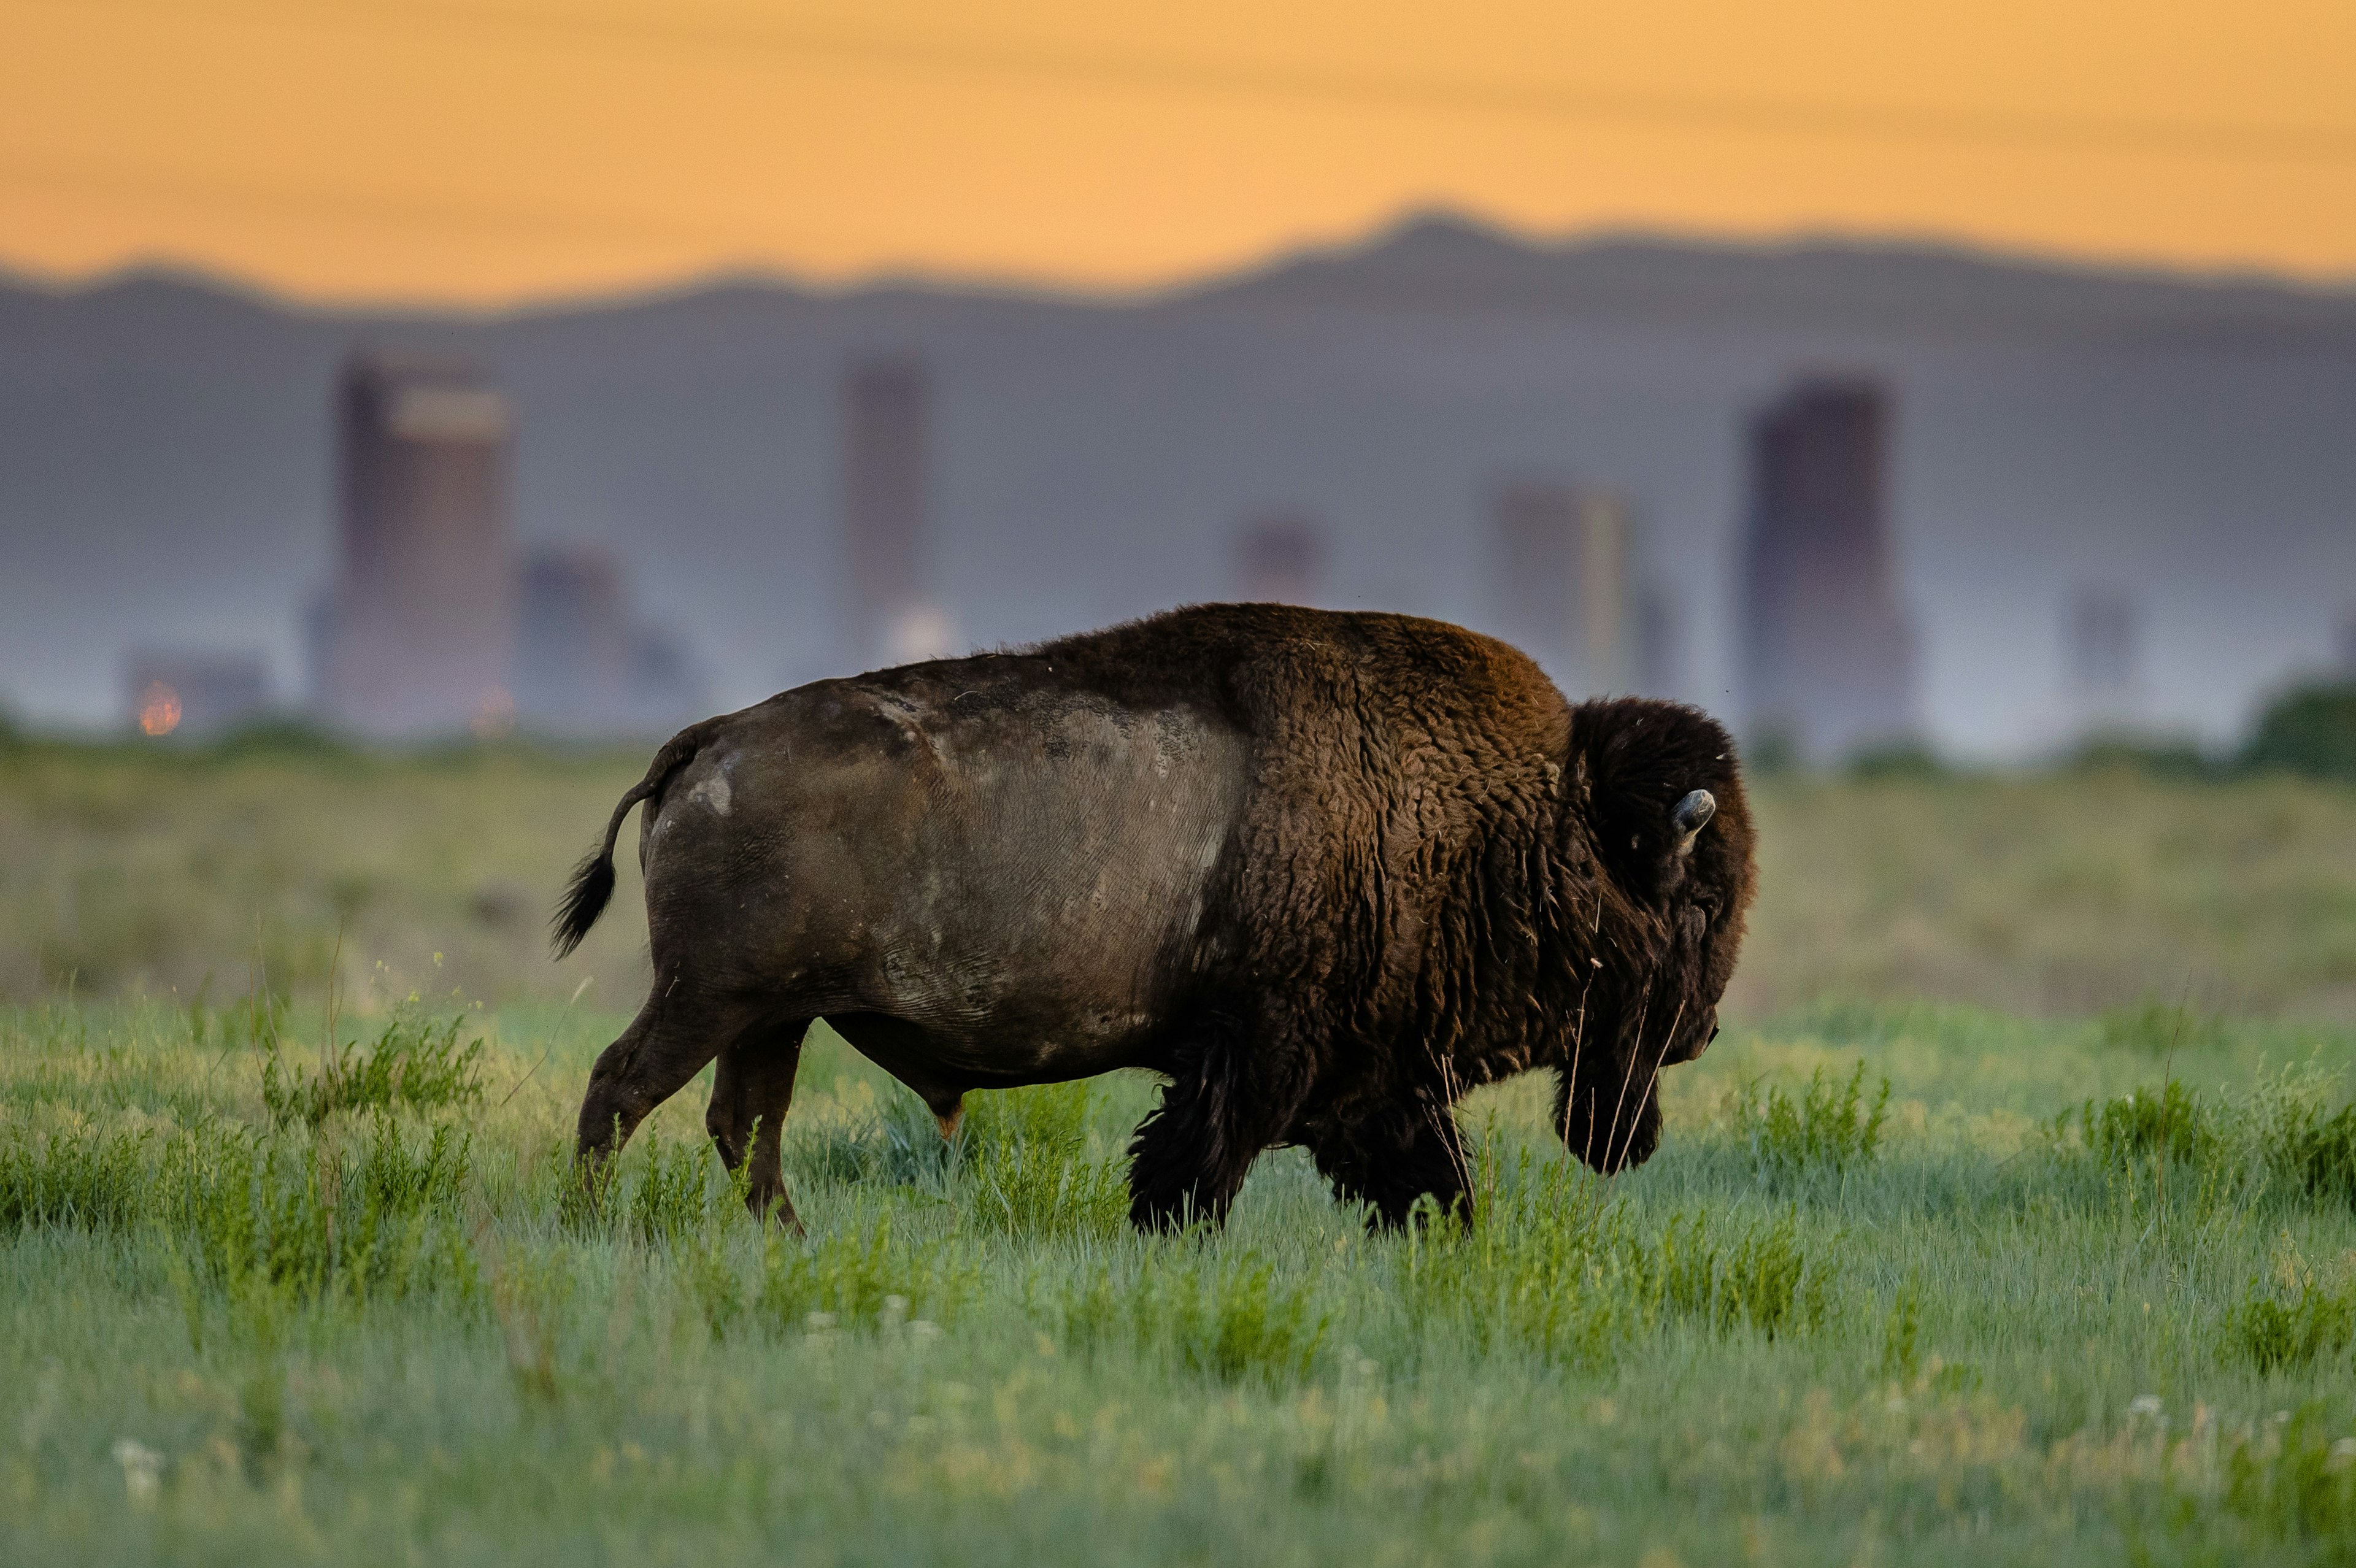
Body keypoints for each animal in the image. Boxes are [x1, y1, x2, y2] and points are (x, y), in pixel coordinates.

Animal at [556, 602, 1752, 1224]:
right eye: (1701, 899)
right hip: (713, 999)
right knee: (624, 1088)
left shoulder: (1376, 1079)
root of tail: (710, 740)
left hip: (773, 1016)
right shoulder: (1266, 1054)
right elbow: (1195, 1164)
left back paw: (790, 1243)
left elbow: (1434, 1181)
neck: (1528, 816)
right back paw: (594, 1227)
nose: (1702, 1031)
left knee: (743, 1126)